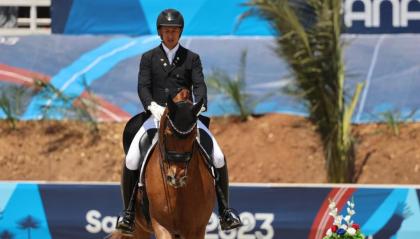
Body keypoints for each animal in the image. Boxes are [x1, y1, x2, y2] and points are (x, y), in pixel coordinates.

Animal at [111, 88, 215, 238]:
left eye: (193, 135)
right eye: (167, 134)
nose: (176, 177)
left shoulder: (196, 229)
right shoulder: (162, 226)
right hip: (139, 229)